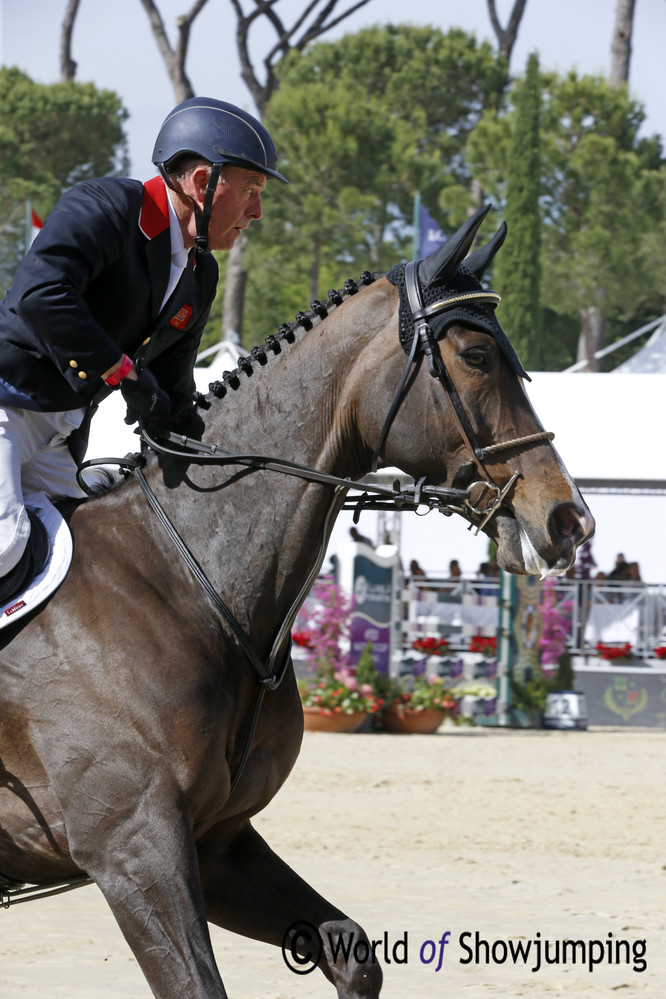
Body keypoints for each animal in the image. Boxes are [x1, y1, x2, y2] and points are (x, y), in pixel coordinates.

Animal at [0, 207, 592, 996]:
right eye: (474, 356)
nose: (568, 521)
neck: (185, 582)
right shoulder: (133, 849)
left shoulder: (216, 843)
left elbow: (353, 951)